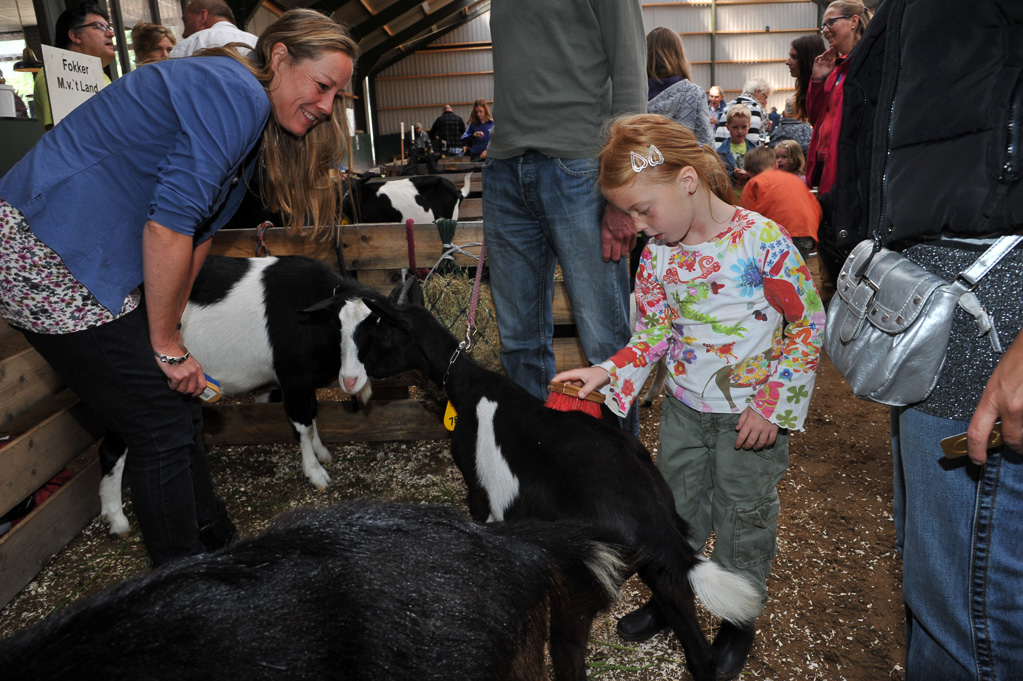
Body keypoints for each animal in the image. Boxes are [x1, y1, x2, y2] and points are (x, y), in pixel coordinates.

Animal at [100, 254, 384, 535]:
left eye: (375, 327)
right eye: (336, 324)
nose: (350, 380)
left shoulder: (305, 382)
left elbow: (312, 416)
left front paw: (322, 452)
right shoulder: (292, 377)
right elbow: (302, 426)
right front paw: (315, 472)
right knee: (111, 449)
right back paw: (117, 519)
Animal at [323, 286, 765, 678]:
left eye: (381, 334)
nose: (351, 379)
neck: (468, 386)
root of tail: (653, 521)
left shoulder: (480, 494)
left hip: (587, 576)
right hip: (663, 572)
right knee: (698, 654)